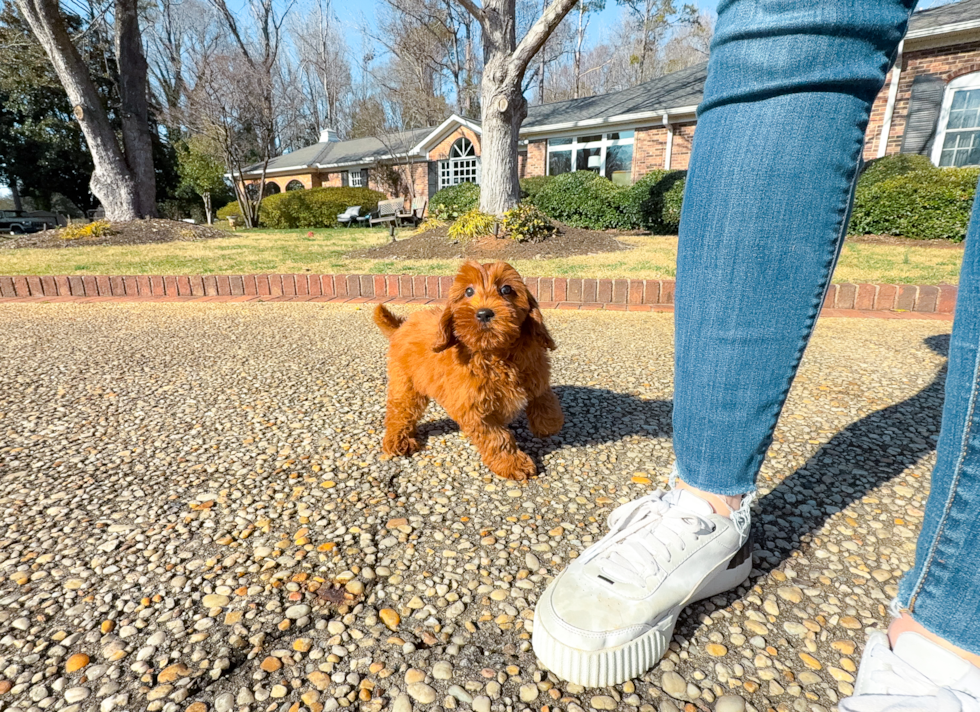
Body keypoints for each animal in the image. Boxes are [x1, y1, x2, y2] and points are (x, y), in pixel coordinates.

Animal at [374, 258, 564, 482]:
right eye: (468, 291)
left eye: (506, 289)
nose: (483, 313)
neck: (495, 354)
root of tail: (401, 326)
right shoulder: (474, 408)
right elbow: (498, 438)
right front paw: (513, 464)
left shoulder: (535, 368)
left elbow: (543, 395)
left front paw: (549, 423)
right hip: (406, 385)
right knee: (400, 412)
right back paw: (398, 441)